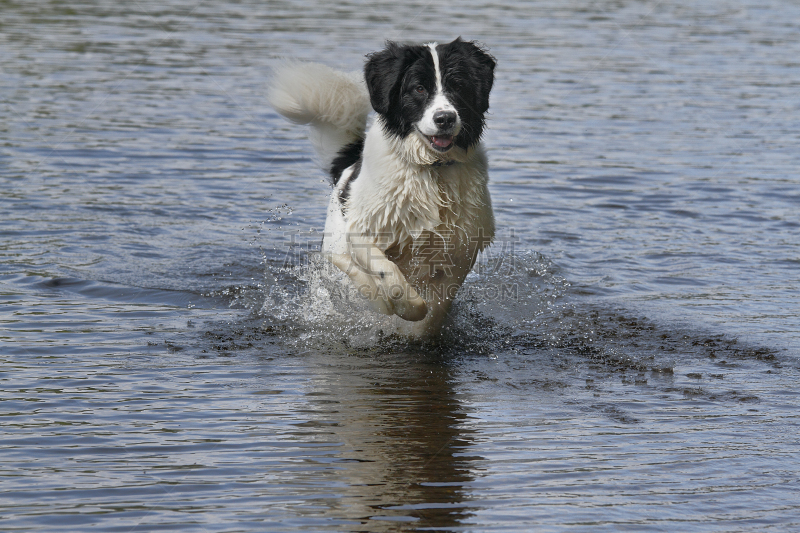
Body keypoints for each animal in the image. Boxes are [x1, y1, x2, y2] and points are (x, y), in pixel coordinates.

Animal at [268, 37, 494, 338]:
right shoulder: (365, 230)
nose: (445, 118)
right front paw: (403, 305)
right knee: (348, 268)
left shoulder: (460, 250)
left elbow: (435, 309)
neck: (431, 168)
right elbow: (389, 273)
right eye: (419, 88)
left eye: (457, 85)